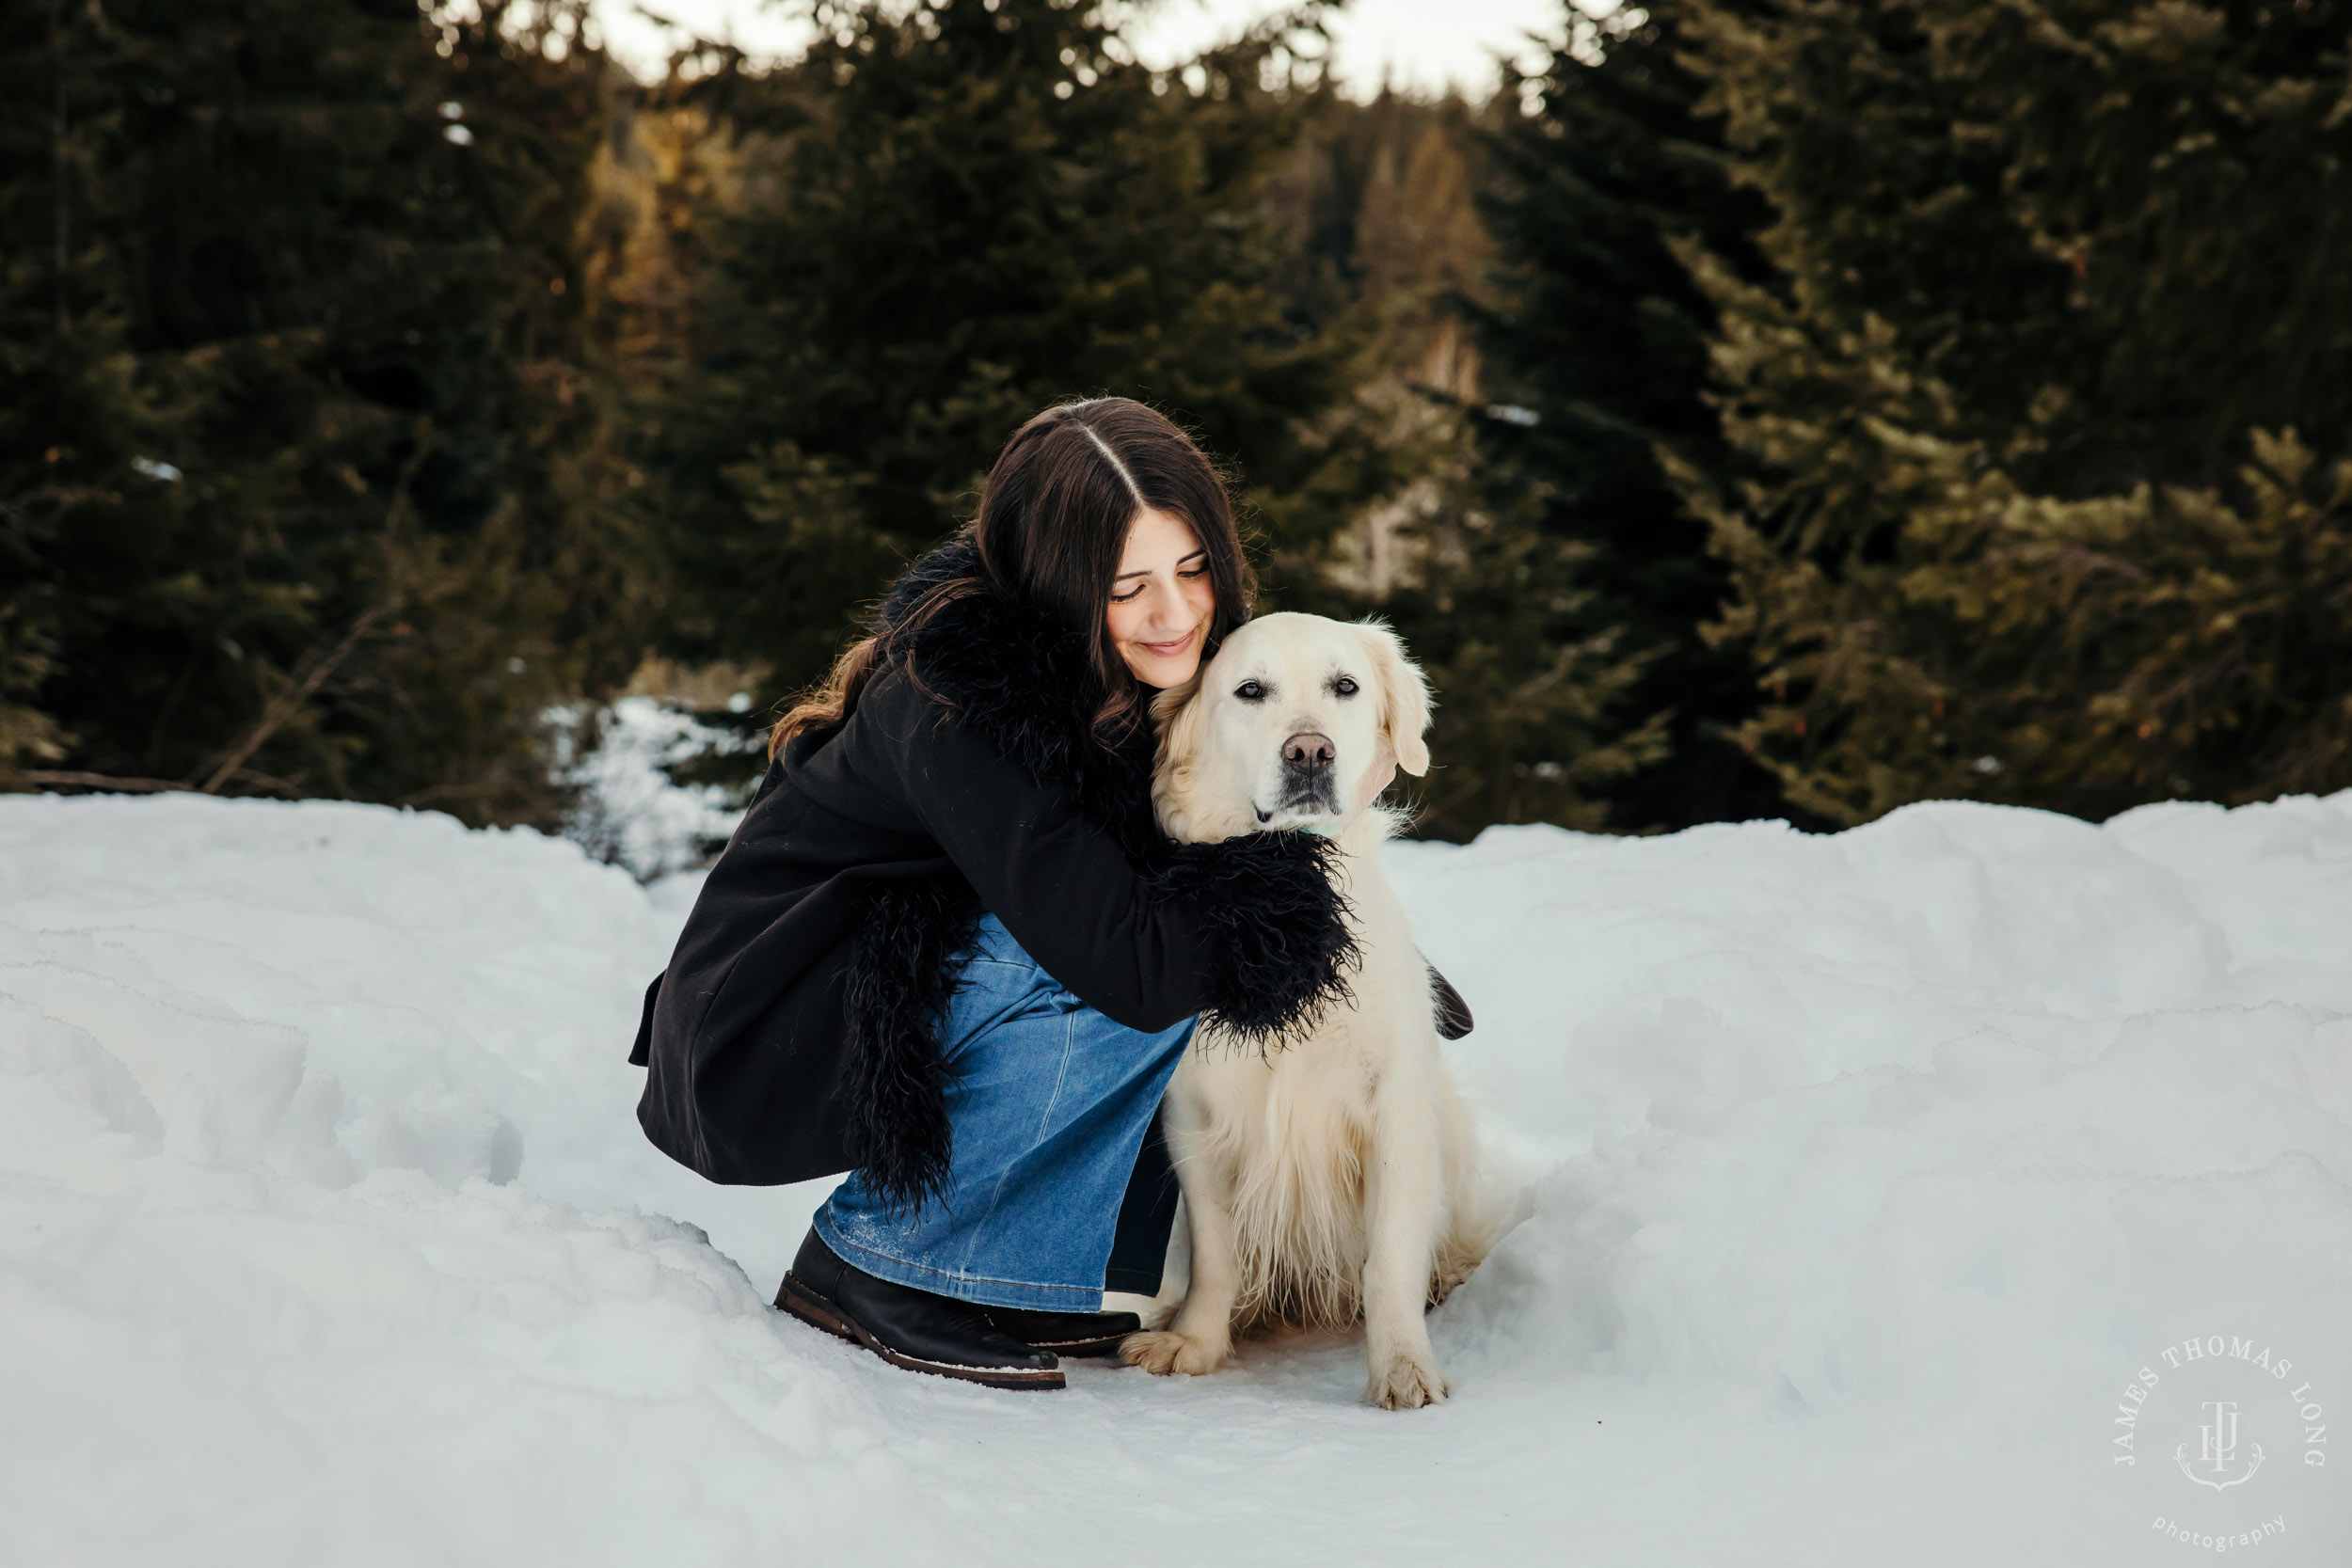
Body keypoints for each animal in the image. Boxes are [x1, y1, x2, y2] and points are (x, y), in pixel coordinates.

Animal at [1120, 610, 1486, 1410]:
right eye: (1250, 690)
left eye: (1344, 686)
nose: (1310, 751)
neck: (1285, 911)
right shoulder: (1194, 1115)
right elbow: (1216, 1251)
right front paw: (1196, 1342)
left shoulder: (1397, 1107)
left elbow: (1391, 1256)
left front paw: (1402, 1365)